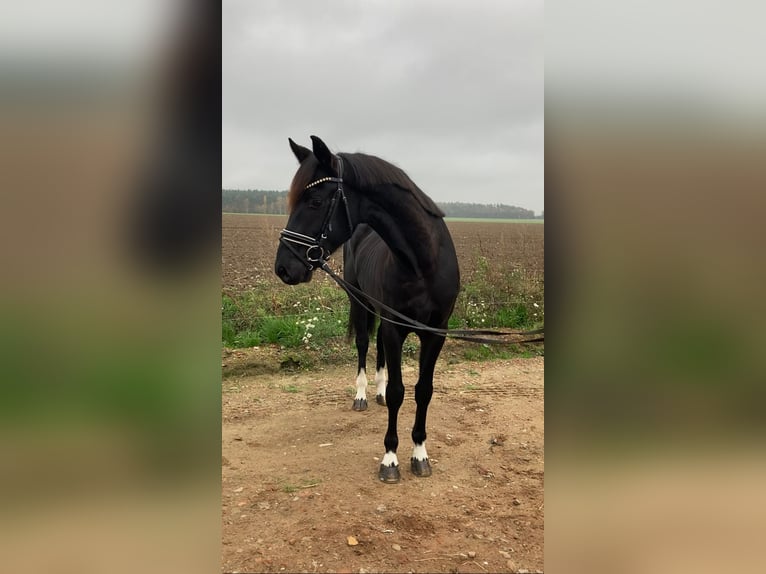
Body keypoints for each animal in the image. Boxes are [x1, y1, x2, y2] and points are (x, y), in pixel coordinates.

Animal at [274, 137, 460, 484]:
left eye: (316, 201)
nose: (284, 267)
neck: (423, 262)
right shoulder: (393, 327)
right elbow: (400, 391)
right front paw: (390, 459)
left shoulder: (435, 333)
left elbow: (423, 390)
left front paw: (420, 453)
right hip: (359, 303)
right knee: (363, 344)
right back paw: (361, 395)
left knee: (379, 352)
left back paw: (378, 392)